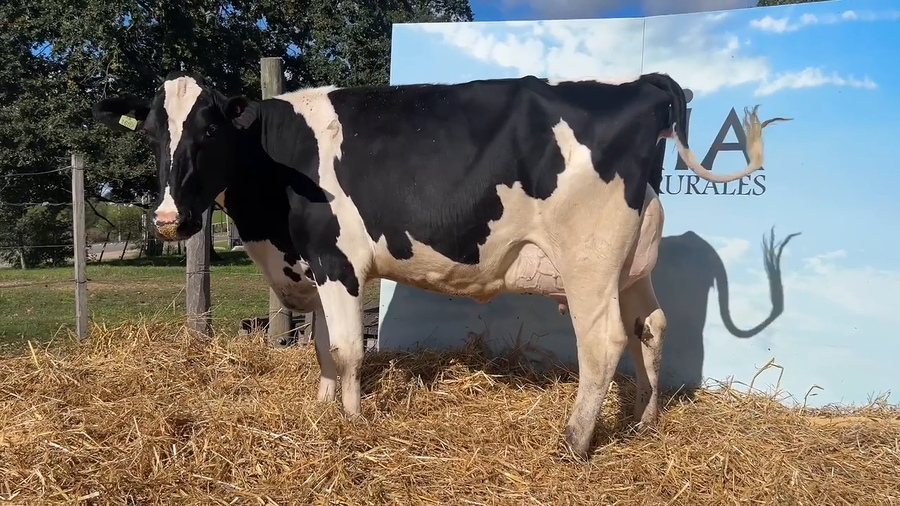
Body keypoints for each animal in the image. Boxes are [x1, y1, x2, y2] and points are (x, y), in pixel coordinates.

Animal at [91, 71, 790, 458]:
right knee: (651, 328)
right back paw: (643, 422)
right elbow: (321, 347)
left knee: (604, 342)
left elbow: (346, 347)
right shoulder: (317, 266)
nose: (166, 220)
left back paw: (575, 441)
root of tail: (640, 85)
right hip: (631, 264)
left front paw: (352, 422)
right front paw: (322, 410)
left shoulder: (338, 260)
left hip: (589, 259)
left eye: (208, 131)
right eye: (154, 134)